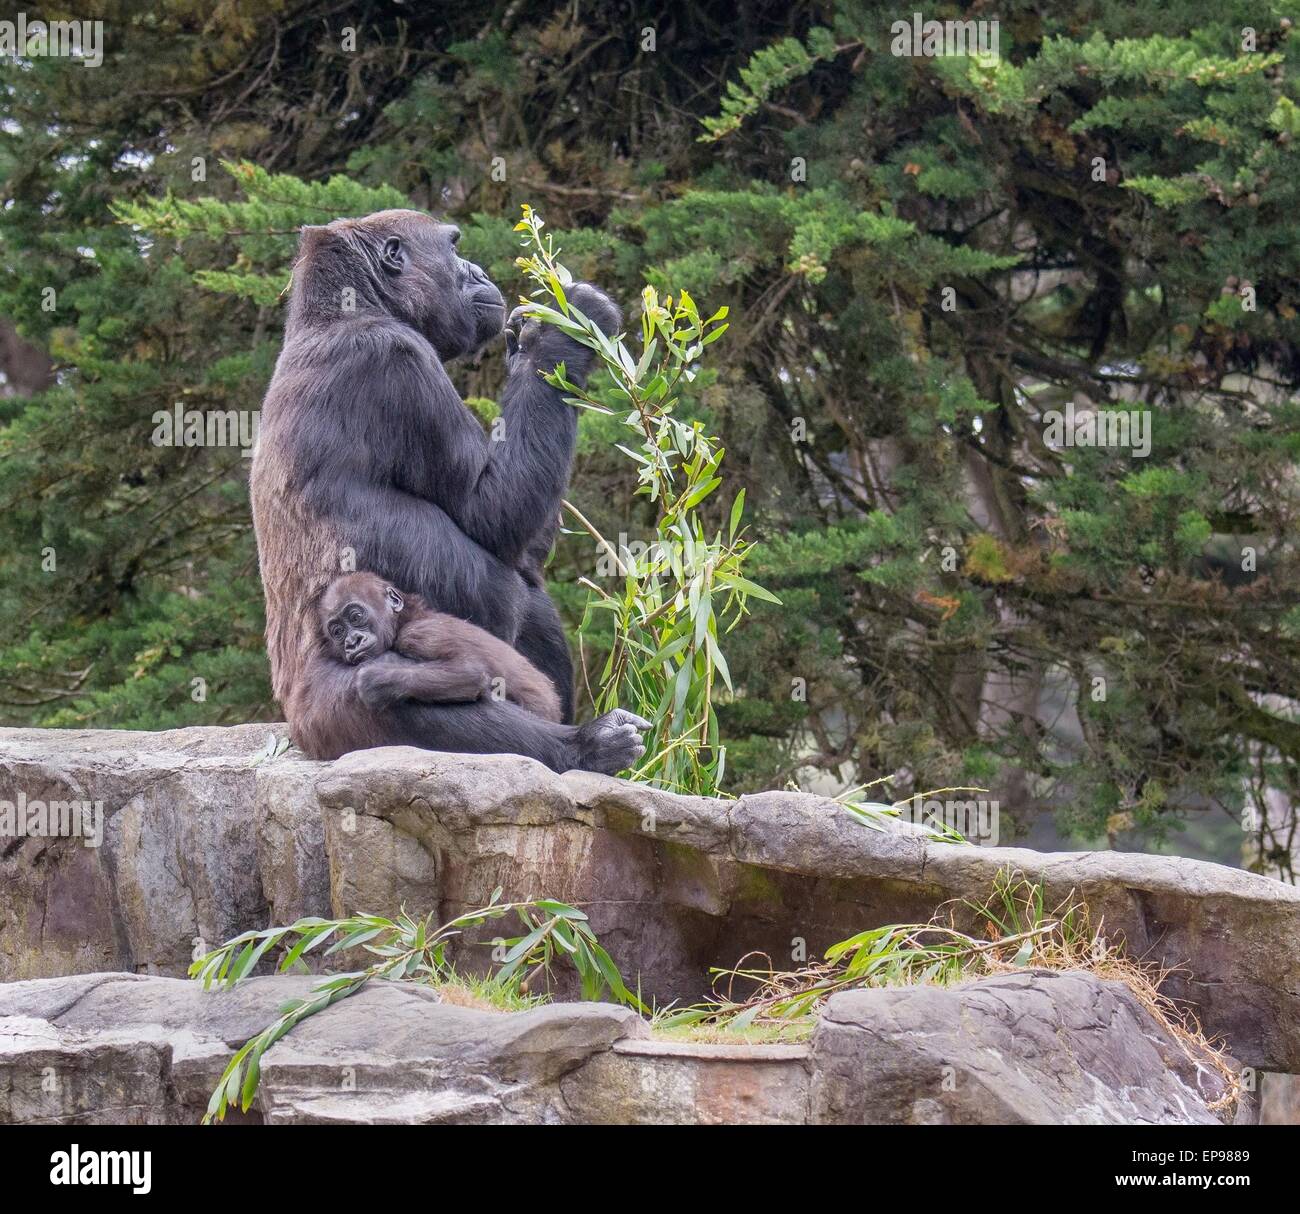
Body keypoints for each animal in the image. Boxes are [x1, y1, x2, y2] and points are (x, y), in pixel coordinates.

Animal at [295, 577, 564, 759]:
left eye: (356, 616)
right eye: (337, 631)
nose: (352, 642)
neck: (406, 618)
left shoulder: (419, 634)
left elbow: (468, 671)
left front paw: (374, 680)